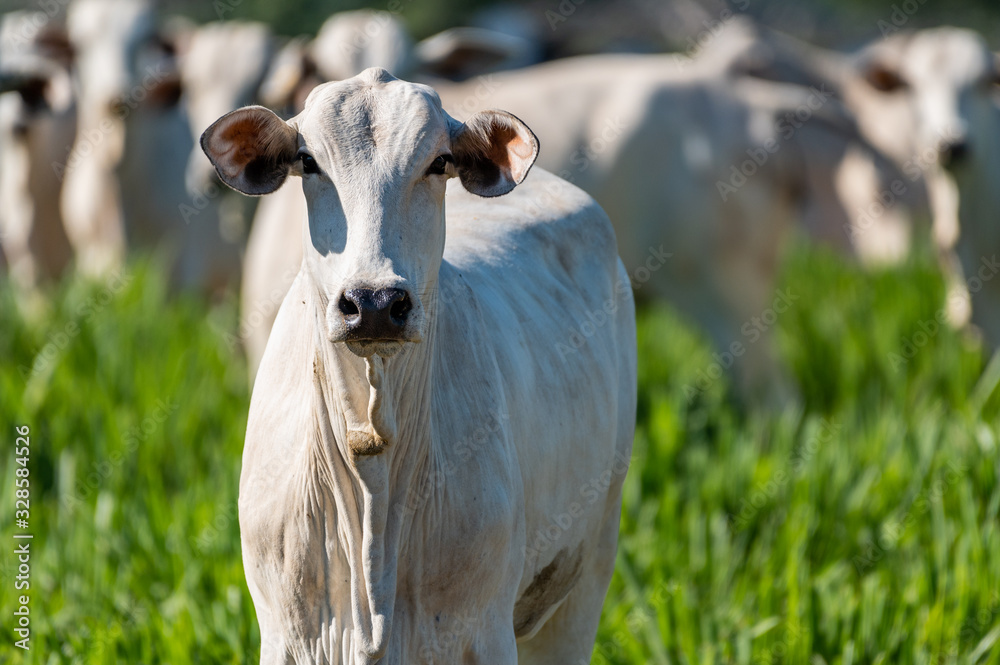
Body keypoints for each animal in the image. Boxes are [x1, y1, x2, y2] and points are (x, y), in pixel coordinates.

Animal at [201, 67, 637, 664]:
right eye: (308, 162)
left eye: (438, 162)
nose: (374, 303)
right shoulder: (287, 636)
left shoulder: (483, 631)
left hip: (586, 576)